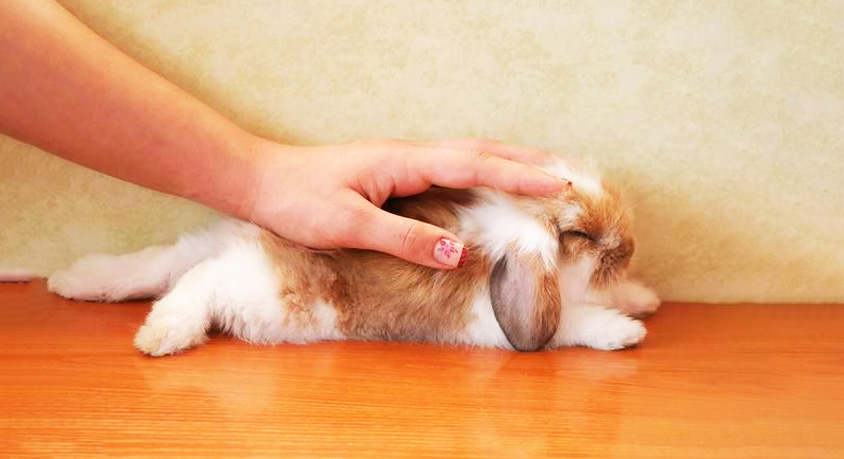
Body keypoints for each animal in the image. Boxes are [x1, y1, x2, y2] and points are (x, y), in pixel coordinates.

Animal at [48, 157, 661, 356]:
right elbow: (574, 323)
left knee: (164, 264)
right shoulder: (504, 322)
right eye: (580, 234)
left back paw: (73, 280)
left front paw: (646, 297)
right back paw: (163, 336)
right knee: (201, 281)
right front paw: (626, 331)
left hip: (203, 253)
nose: (631, 249)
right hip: (263, 293)